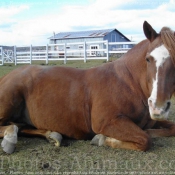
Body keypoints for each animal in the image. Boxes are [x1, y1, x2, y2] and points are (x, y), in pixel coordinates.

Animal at [0, 21, 175, 153]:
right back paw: (10, 139)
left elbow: (167, 129)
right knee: (10, 126)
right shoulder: (106, 123)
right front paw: (102, 139)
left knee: (22, 126)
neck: (129, 83)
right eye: (148, 59)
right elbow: (145, 139)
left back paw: (52, 135)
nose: (158, 107)